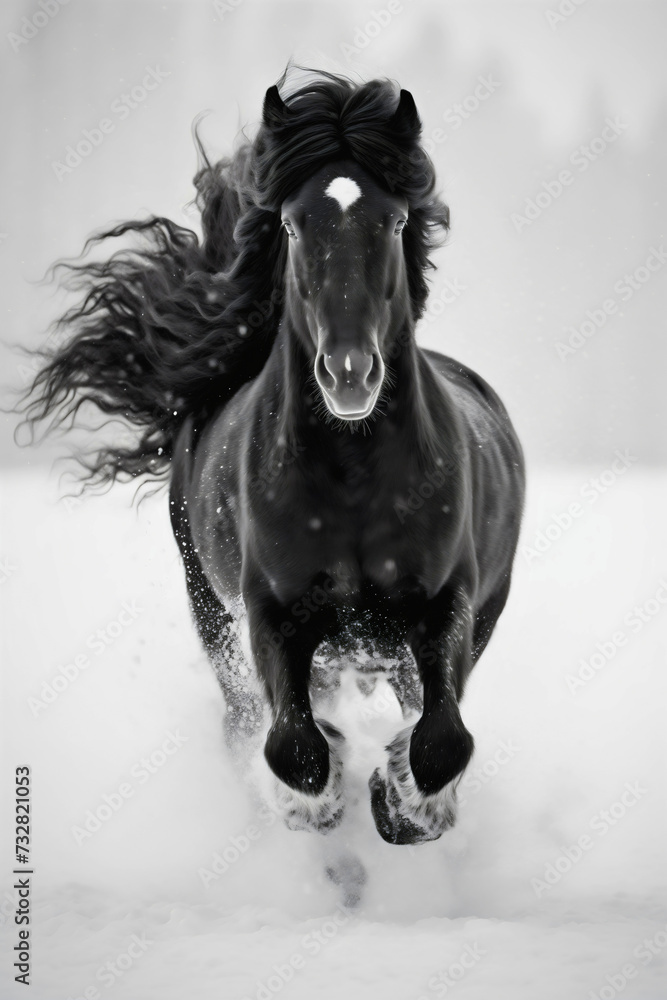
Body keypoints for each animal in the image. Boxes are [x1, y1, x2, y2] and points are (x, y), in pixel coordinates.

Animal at [22, 70, 525, 846]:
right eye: (292, 223)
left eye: (395, 222)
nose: (349, 373)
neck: (353, 485)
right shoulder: (270, 614)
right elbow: (296, 749)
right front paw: (320, 804)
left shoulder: (449, 605)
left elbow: (439, 740)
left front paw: (405, 804)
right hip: (211, 610)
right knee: (245, 721)